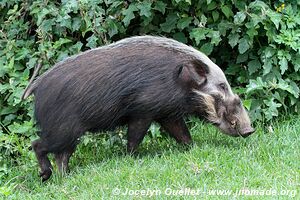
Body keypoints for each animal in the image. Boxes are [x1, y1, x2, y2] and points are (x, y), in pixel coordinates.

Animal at [22, 36, 254, 181]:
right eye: (222, 86)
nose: (249, 129)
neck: (179, 82)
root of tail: (36, 88)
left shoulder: (167, 113)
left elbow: (184, 135)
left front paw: (193, 148)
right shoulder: (142, 112)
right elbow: (134, 140)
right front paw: (131, 158)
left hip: (68, 136)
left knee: (61, 157)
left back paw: (66, 176)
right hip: (64, 131)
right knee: (37, 145)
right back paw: (45, 175)